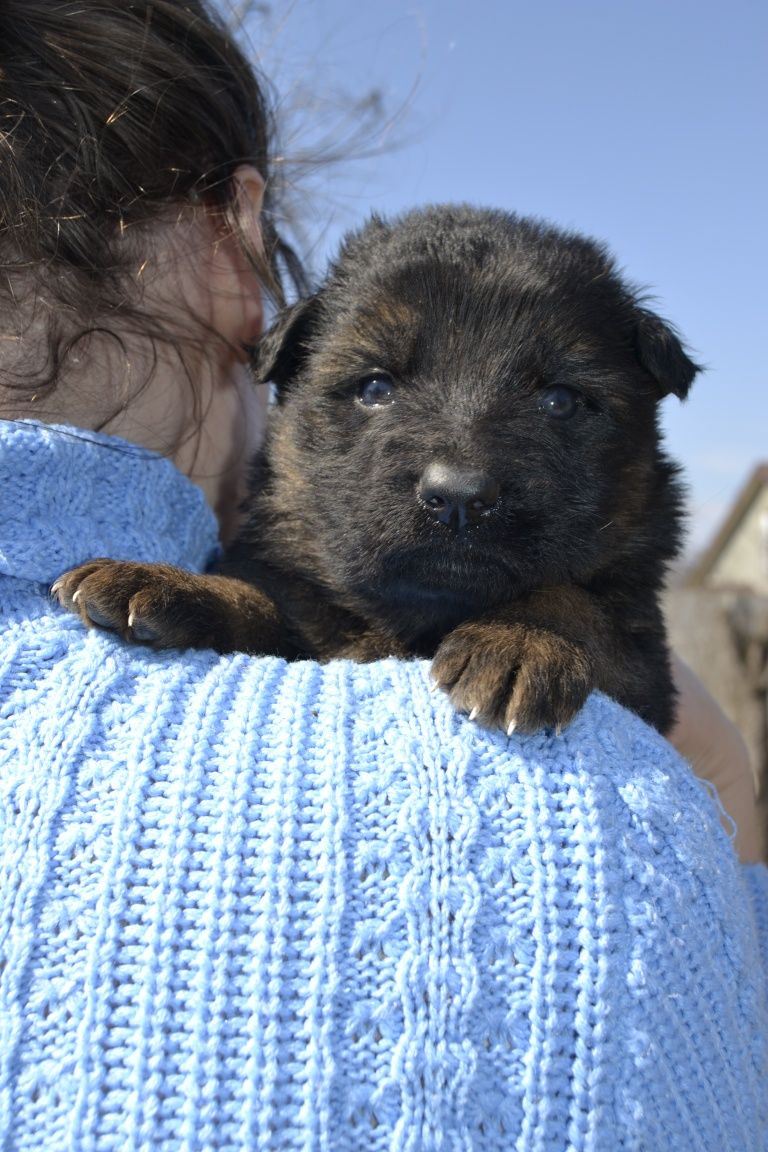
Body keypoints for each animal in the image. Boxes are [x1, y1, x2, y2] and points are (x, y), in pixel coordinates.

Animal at [54, 203, 700, 732]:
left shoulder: (645, 664)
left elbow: (575, 602)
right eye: (374, 388)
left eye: (560, 401)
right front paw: (165, 583)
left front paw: (522, 639)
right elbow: (262, 599)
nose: (458, 496)